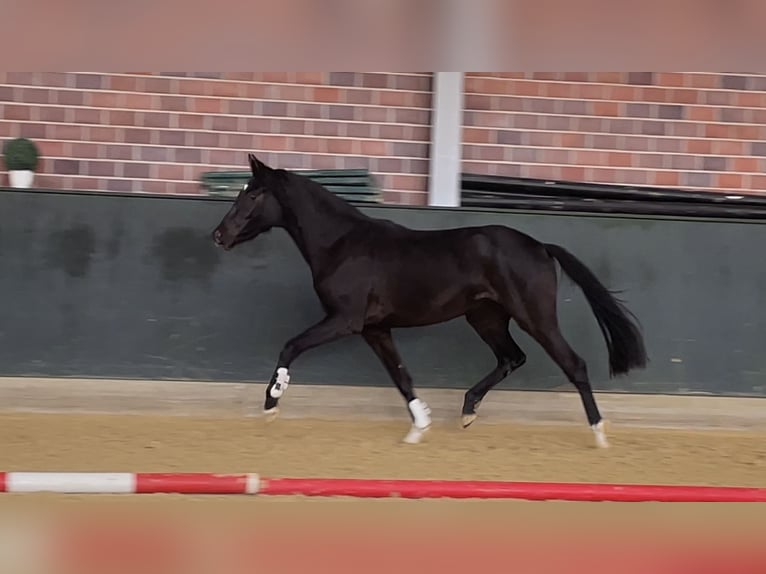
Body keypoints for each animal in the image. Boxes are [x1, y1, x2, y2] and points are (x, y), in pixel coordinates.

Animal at [212, 155, 648, 448]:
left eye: (253, 195)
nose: (219, 236)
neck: (342, 244)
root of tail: (540, 246)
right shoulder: (375, 329)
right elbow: (401, 376)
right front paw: (418, 427)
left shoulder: (345, 320)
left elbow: (291, 345)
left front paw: (272, 403)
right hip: (485, 318)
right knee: (512, 357)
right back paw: (468, 412)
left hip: (534, 316)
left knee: (573, 364)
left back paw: (599, 433)